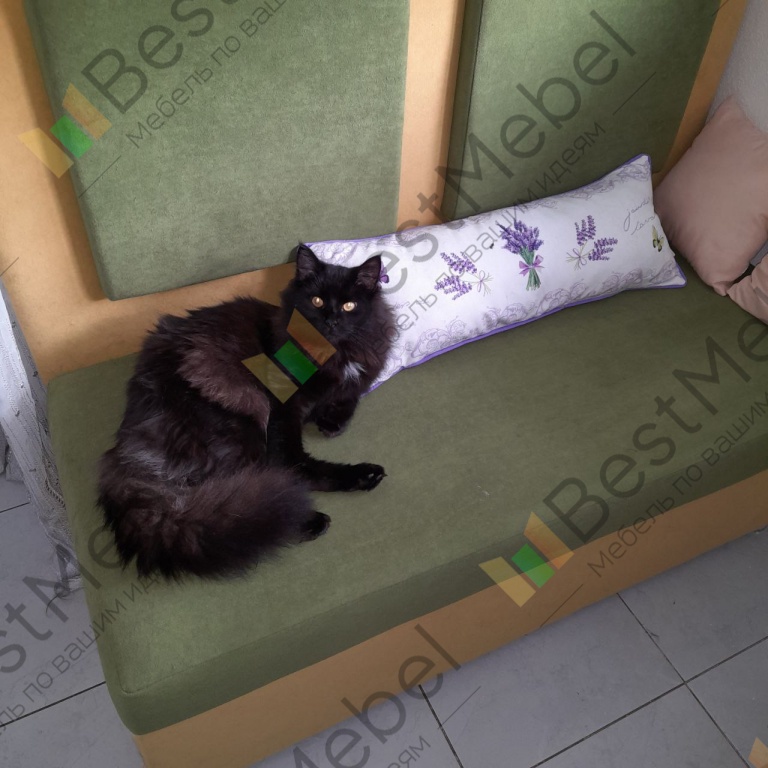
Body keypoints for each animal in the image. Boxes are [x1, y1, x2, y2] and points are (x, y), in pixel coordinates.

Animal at [97, 244, 394, 580]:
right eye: (316, 301)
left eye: (348, 305)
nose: (330, 321)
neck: (331, 354)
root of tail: (123, 452)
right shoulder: (283, 408)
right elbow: (293, 458)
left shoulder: (360, 373)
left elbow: (350, 395)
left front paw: (333, 420)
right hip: (246, 416)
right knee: (278, 479)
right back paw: (327, 506)